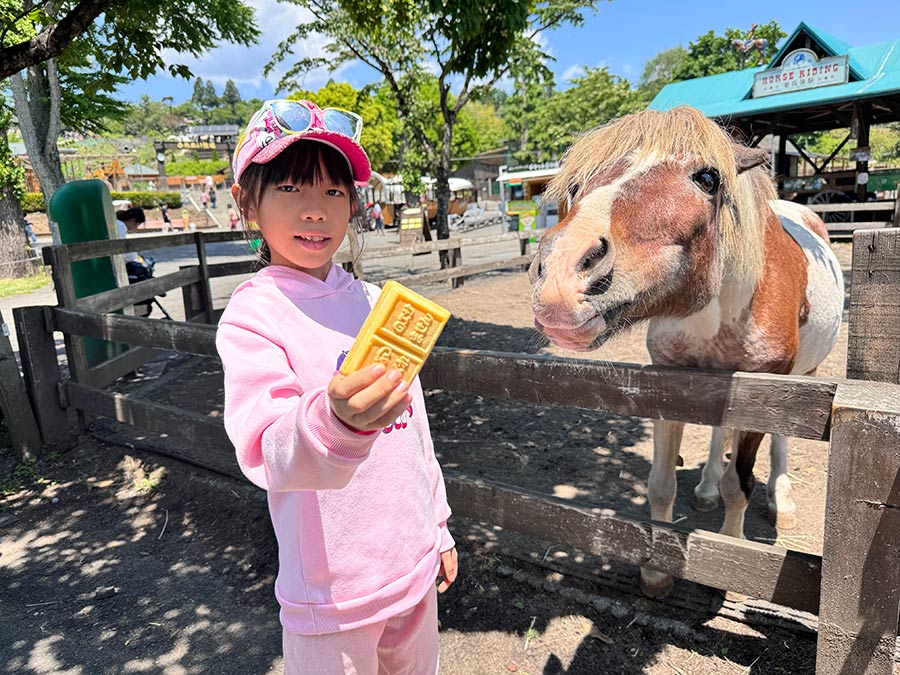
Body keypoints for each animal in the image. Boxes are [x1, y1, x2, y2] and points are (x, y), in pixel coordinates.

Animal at [528, 106, 844, 598]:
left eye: (708, 177)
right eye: (576, 185)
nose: (561, 272)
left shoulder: (763, 396)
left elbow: (741, 484)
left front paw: (732, 563)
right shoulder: (670, 384)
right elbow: (661, 484)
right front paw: (657, 572)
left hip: (802, 380)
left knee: (780, 444)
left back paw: (782, 497)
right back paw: (708, 487)